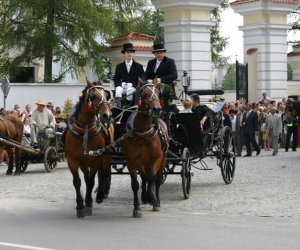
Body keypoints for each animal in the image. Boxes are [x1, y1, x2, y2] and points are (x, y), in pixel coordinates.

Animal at [64, 79, 113, 218]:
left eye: (106, 95)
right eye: (94, 96)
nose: (107, 115)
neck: (85, 129)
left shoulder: (96, 159)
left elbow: (91, 181)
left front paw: (89, 203)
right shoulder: (72, 160)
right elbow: (77, 181)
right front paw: (80, 206)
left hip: (105, 157)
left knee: (104, 173)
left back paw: (100, 194)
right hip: (84, 162)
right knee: (87, 177)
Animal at [123, 80, 168, 217]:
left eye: (158, 92)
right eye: (144, 93)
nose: (157, 109)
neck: (143, 133)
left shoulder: (157, 158)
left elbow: (152, 177)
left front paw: (152, 197)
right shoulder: (131, 162)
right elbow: (135, 184)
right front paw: (137, 208)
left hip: (163, 160)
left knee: (156, 179)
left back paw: (156, 200)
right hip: (142, 162)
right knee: (144, 177)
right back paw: (145, 196)